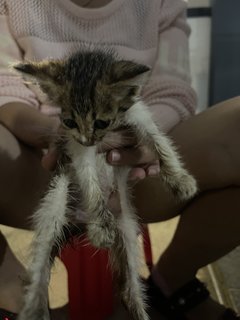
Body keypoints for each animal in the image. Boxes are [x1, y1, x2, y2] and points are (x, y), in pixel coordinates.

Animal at [13, 50, 197, 320]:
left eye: (101, 122)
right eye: (69, 122)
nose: (86, 139)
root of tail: (78, 225)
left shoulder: (139, 116)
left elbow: (160, 143)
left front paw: (181, 180)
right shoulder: (77, 149)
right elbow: (90, 183)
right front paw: (100, 227)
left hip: (128, 230)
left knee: (130, 291)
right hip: (54, 205)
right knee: (39, 271)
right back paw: (34, 308)